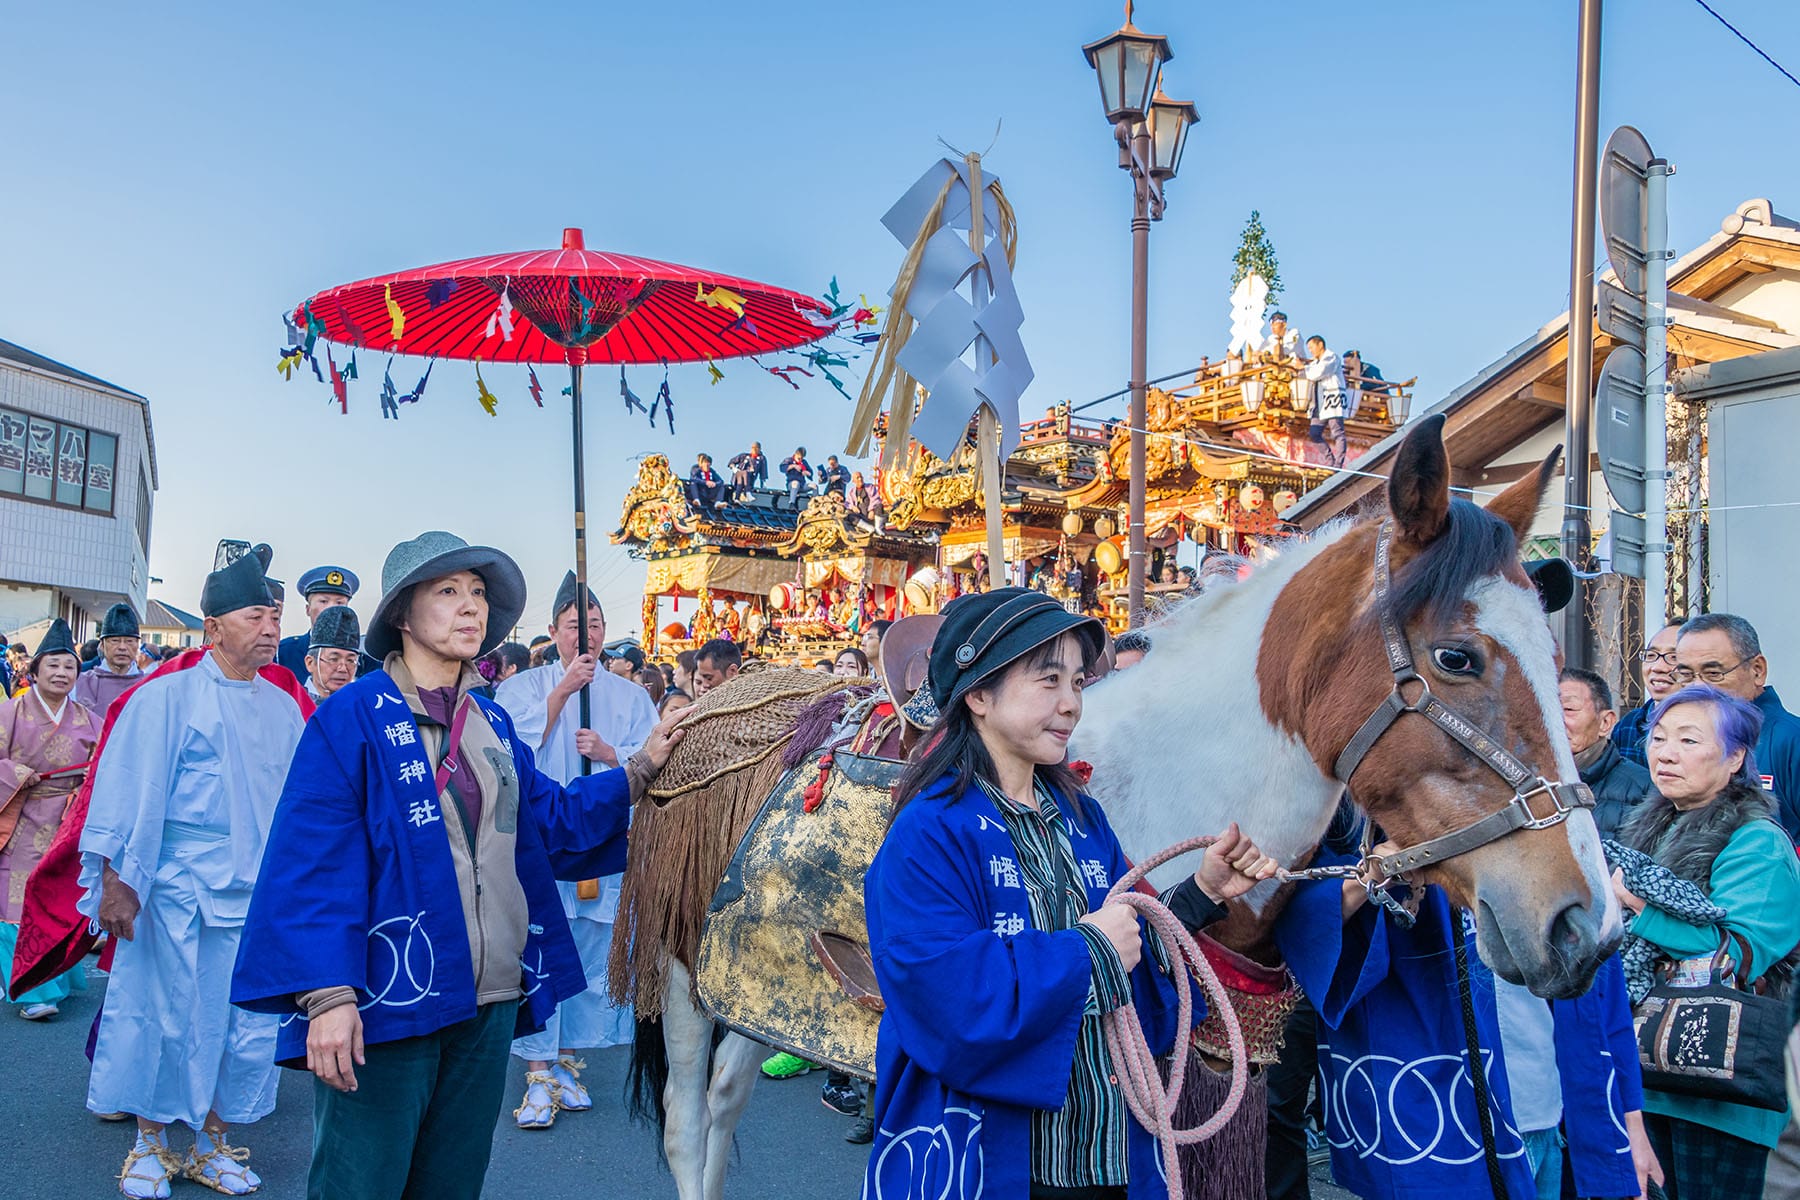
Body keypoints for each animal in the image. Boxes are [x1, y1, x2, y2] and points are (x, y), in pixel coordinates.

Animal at [608, 415, 1620, 1200]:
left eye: (1552, 655)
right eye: (1457, 657)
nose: (1588, 924)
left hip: (754, 979)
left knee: (728, 1100)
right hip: (682, 967)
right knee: (687, 1122)